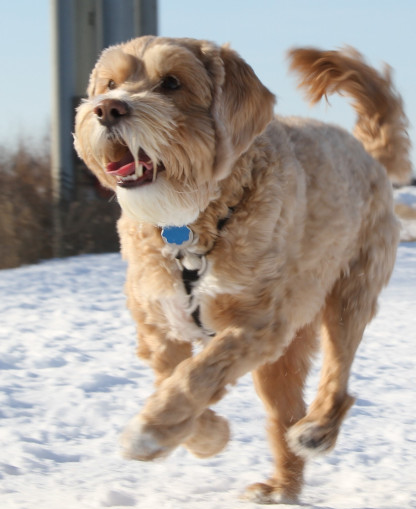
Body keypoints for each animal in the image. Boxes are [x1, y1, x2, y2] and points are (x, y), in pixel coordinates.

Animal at [73, 37, 412, 502]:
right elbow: (171, 374)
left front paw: (152, 431)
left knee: (337, 378)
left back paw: (318, 430)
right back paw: (282, 487)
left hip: (349, 295)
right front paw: (204, 435)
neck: (192, 227)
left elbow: (197, 375)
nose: (107, 109)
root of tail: (365, 152)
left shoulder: (257, 324)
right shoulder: (157, 323)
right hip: (283, 357)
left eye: (171, 82)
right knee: (285, 415)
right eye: (110, 84)